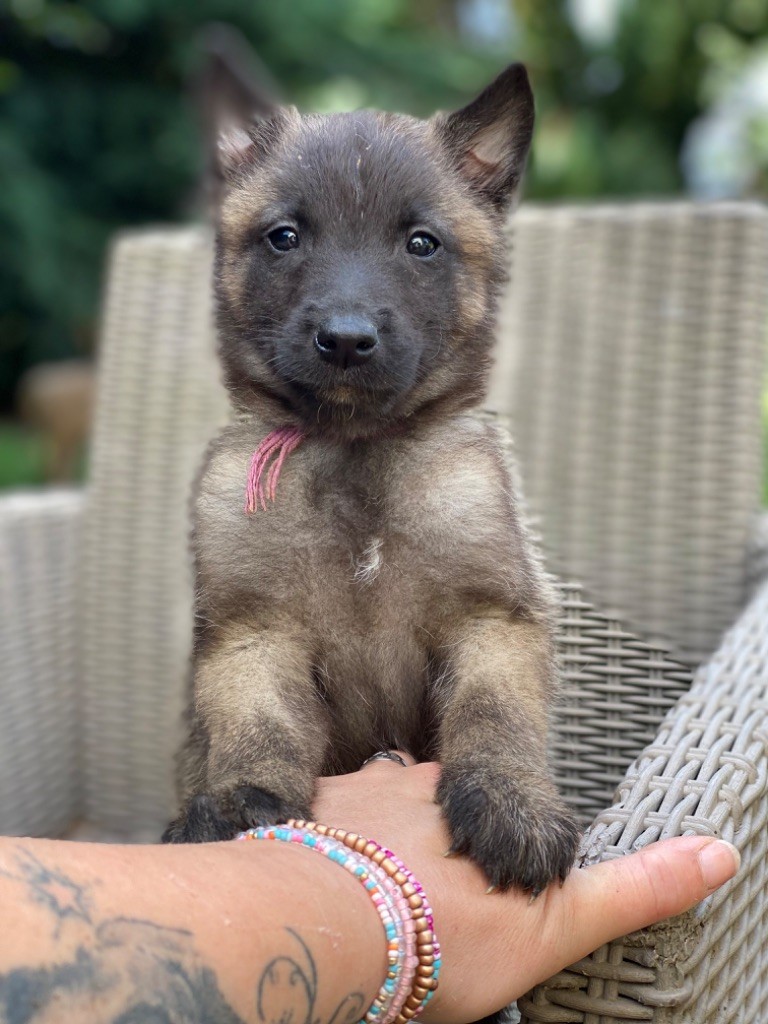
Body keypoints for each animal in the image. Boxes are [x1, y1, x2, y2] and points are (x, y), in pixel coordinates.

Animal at [163, 52, 579, 897]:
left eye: (421, 243)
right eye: (284, 237)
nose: (346, 340)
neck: (356, 454)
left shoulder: (492, 620)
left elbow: (496, 717)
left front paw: (511, 803)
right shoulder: (254, 632)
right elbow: (254, 722)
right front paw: (241, 800)